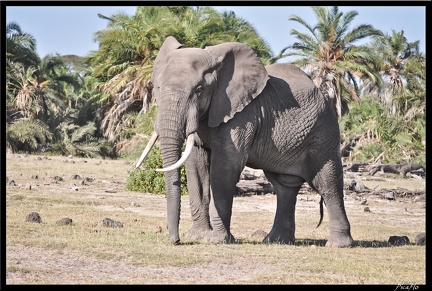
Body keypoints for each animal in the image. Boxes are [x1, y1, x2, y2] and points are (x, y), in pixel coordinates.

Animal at [136, 35, 354, 248]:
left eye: (199, 90)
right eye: (158, 87)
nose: (177, 240)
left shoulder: (243, 115)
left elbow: (225, 167)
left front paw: (215, 240)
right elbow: (196, 167)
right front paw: (198, 236)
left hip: (323, 132)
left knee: (328, 183)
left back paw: (338, 244)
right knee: (284, 186)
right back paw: (276, 241)